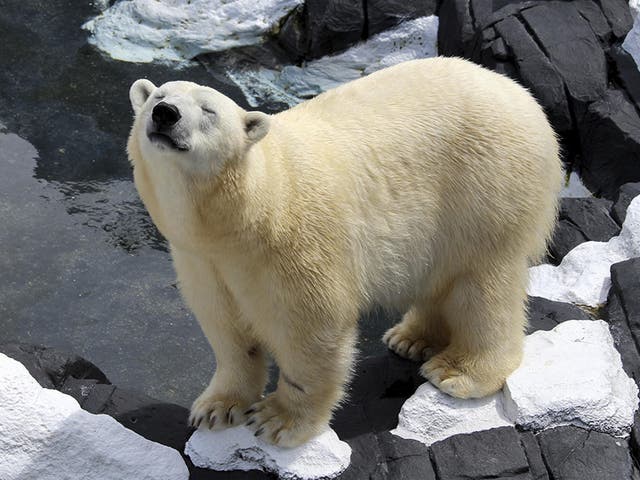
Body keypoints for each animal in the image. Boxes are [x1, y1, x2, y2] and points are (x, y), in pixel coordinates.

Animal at [127, 58, 564, 448]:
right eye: (159, 96)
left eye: (209, 111)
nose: (165, 114)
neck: (248, 213)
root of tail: (523, 97)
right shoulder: (201, 259)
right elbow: (225, 326)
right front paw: (217, 407)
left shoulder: (294, 247)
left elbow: (311, 328)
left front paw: (279, 421)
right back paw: (409, 338)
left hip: (487, 190)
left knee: (482, 284)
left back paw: (458, 371)